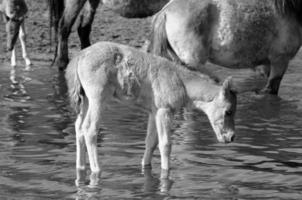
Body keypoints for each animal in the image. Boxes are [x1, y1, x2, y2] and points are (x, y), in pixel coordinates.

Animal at [64, 41, 264, 187]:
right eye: (228, 111)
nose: (231, 137)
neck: (181, 81)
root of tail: (79, 57)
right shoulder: (164, 110)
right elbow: (166, 144)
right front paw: (166, 176)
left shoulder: (153, 111)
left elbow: (151, 142)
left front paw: (146, 169)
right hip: (98, 97)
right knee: (90, 129)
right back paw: (96, 171)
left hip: (85, 99)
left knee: (78, 127)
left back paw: (80, 168)